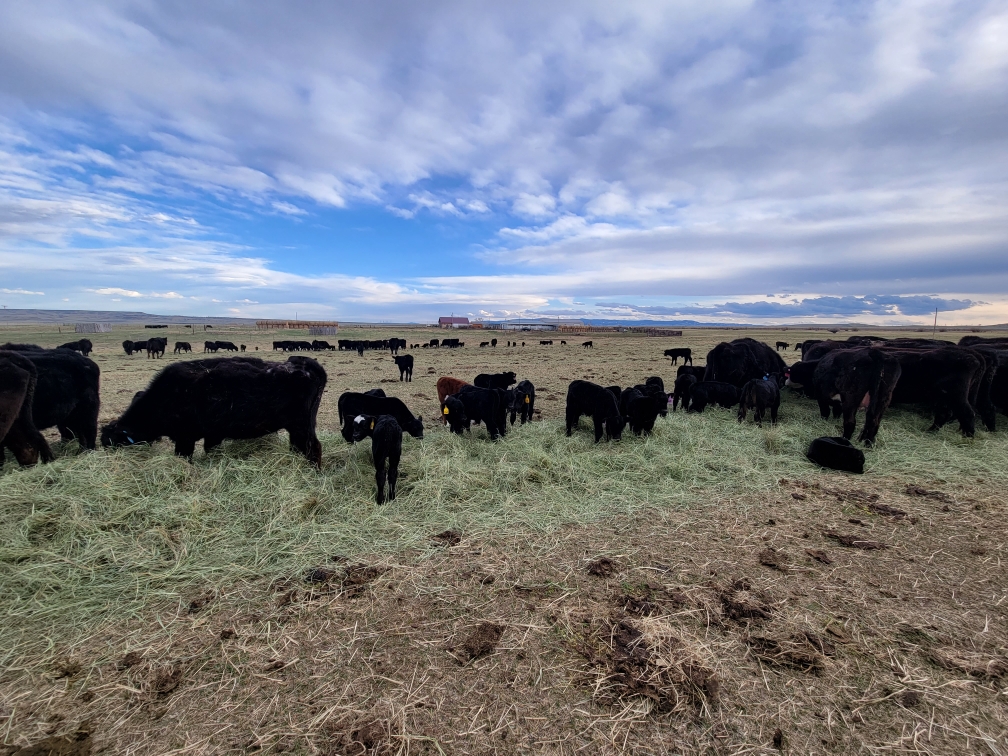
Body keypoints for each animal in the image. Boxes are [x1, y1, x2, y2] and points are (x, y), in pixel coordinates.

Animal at [102, 356, 326, 466]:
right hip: (295, 428)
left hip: (301, 426)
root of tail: (306, 365)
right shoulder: (212, 435)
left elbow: (185, 457)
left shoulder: (185, 438)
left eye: (112, 444)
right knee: (299, 447)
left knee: (313, 447)